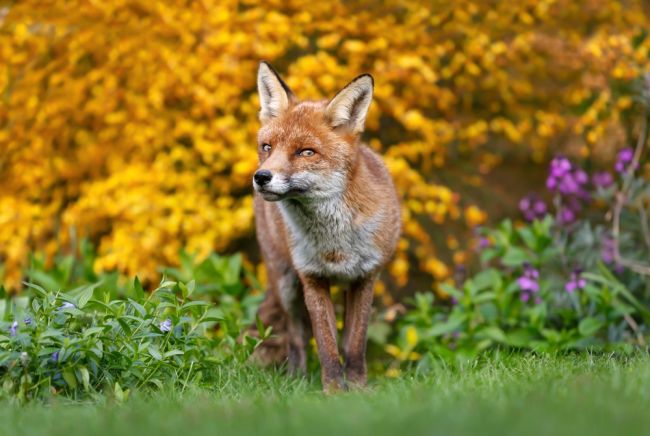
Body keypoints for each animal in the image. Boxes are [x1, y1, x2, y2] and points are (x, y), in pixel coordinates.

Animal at [252, 61, 400, 392]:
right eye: (267, 147)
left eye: (306, 152)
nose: (261, 177)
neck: (335, 243)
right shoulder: (312, 278)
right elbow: (325, 344)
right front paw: (333, 391)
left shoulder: (366, 276)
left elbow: (354, 343)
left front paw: (357, 388)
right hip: (286, 284)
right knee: (295, 337)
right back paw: (296, 379)